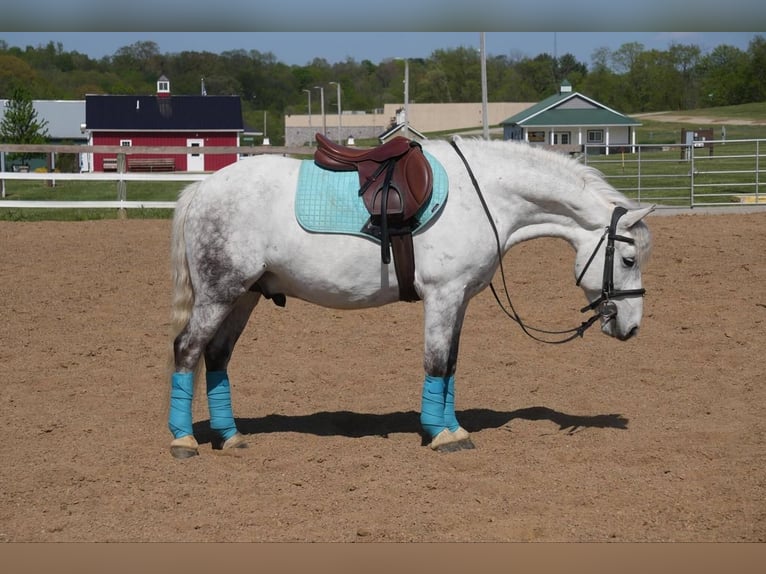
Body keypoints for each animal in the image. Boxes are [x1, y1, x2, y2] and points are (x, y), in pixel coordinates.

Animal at [166, 137, 656, 462]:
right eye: (628, 258)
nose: (631, 327)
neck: (482, 196)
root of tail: (202, 189)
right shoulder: (442, 295)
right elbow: (435, 364)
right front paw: (439, 435)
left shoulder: (459, 299)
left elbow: (452, 365)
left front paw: (453, 428)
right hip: (219, 294)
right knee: (187, 350)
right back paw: (183, 440)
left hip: (244, 296)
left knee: (217, 356)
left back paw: (229, 436)